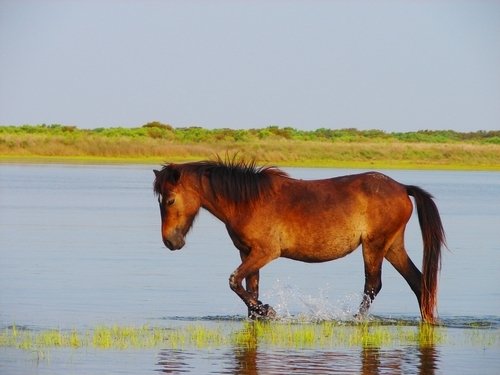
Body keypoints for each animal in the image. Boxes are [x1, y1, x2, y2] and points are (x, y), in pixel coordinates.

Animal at [152, 157, 446, 324]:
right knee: (418, 282)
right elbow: (249, 289)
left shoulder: (265, 252)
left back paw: (356, 320)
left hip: (374, 246)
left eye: (170, 200)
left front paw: (268, 310)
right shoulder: (247, 253)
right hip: (393, 246)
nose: (170, 241)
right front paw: (258, 314)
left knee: (373, 285)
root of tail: (402, 188)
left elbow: (234, 281)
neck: (247, 201)